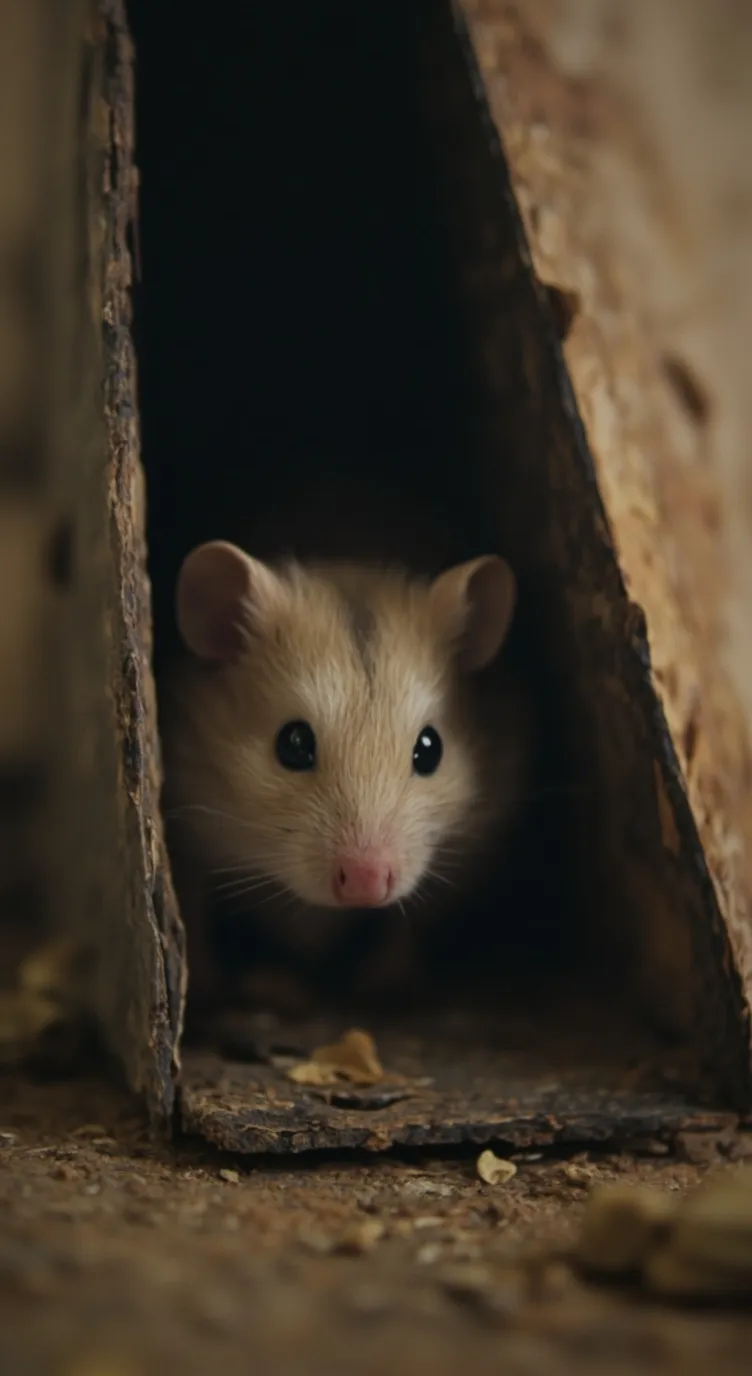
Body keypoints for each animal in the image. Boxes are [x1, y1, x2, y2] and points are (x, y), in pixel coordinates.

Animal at [159, 541, 529, 1007]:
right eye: (293, 743)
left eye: (430, 749)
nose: (364, 886)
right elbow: (193, 907)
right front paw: (207, 987)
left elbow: (405, 924)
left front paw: (387, 987)